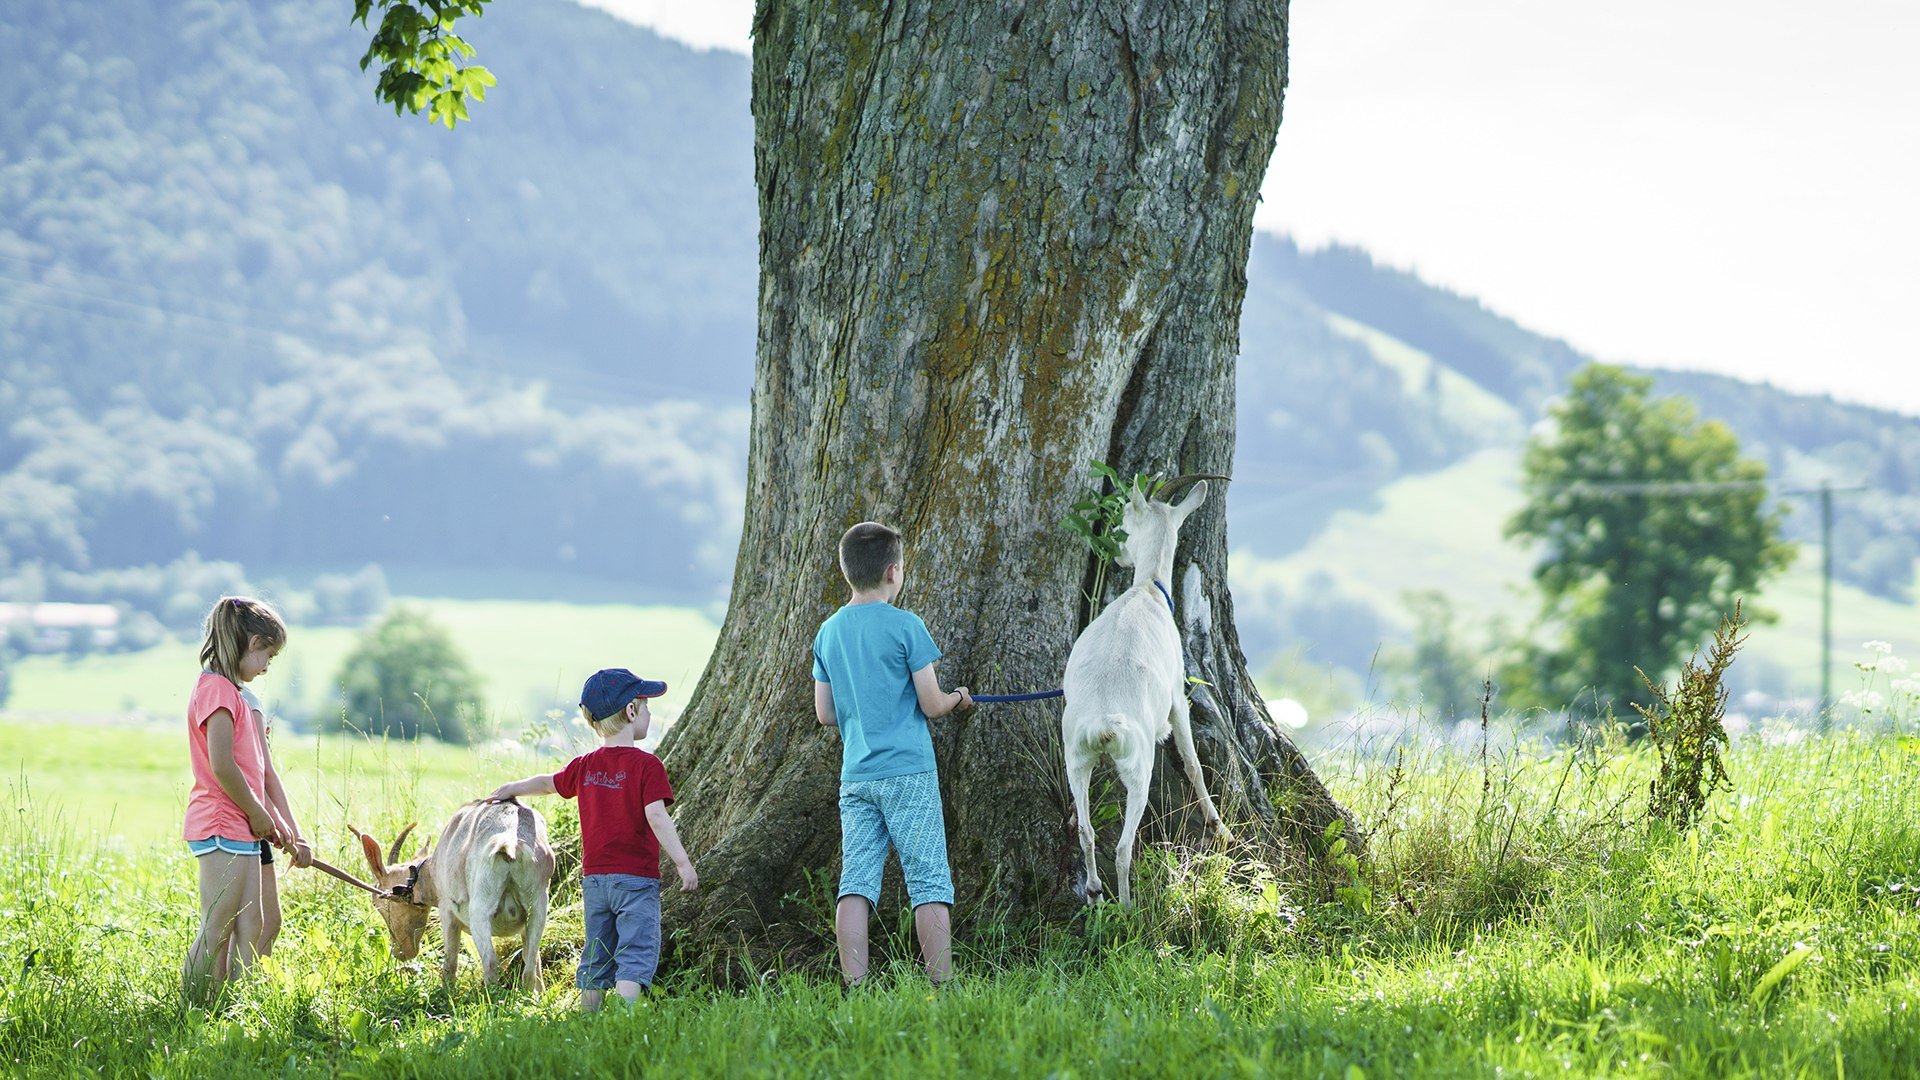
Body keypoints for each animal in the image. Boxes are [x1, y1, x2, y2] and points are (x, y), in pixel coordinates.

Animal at [355, 795, 556, 991]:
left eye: (376, 902)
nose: (400, 952)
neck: (431, 871)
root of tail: (510, 843)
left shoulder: (447, 912)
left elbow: (450, 962)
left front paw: (445, 994)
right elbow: (534, 961)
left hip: (480, 911)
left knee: (491, 963)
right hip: (538, 906)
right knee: (529, 967)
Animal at [1067, 472, 1228, 899]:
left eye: (1123, 520)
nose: (1117, 554)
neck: (1149, 590)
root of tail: (1103, 725)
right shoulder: (1177, 699)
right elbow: (1193, 762)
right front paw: (1218, 826)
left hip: (1076, 759)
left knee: (1087, 832)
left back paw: (1094, 890)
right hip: (1139, 768)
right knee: (1123, 847)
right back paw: (1126, 907)